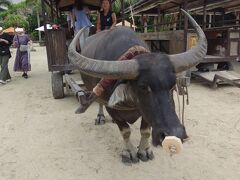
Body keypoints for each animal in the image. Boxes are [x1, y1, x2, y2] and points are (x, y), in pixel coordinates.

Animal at [67, 10, 206, 165]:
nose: (176, 134)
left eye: (172, 85)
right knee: (98, 100)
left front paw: (144, 150)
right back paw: (100, 117)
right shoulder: (111, 107)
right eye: (143, 87)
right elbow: (125, 130)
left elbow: (145, 130)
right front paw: (129, 152)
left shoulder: (146, 113)